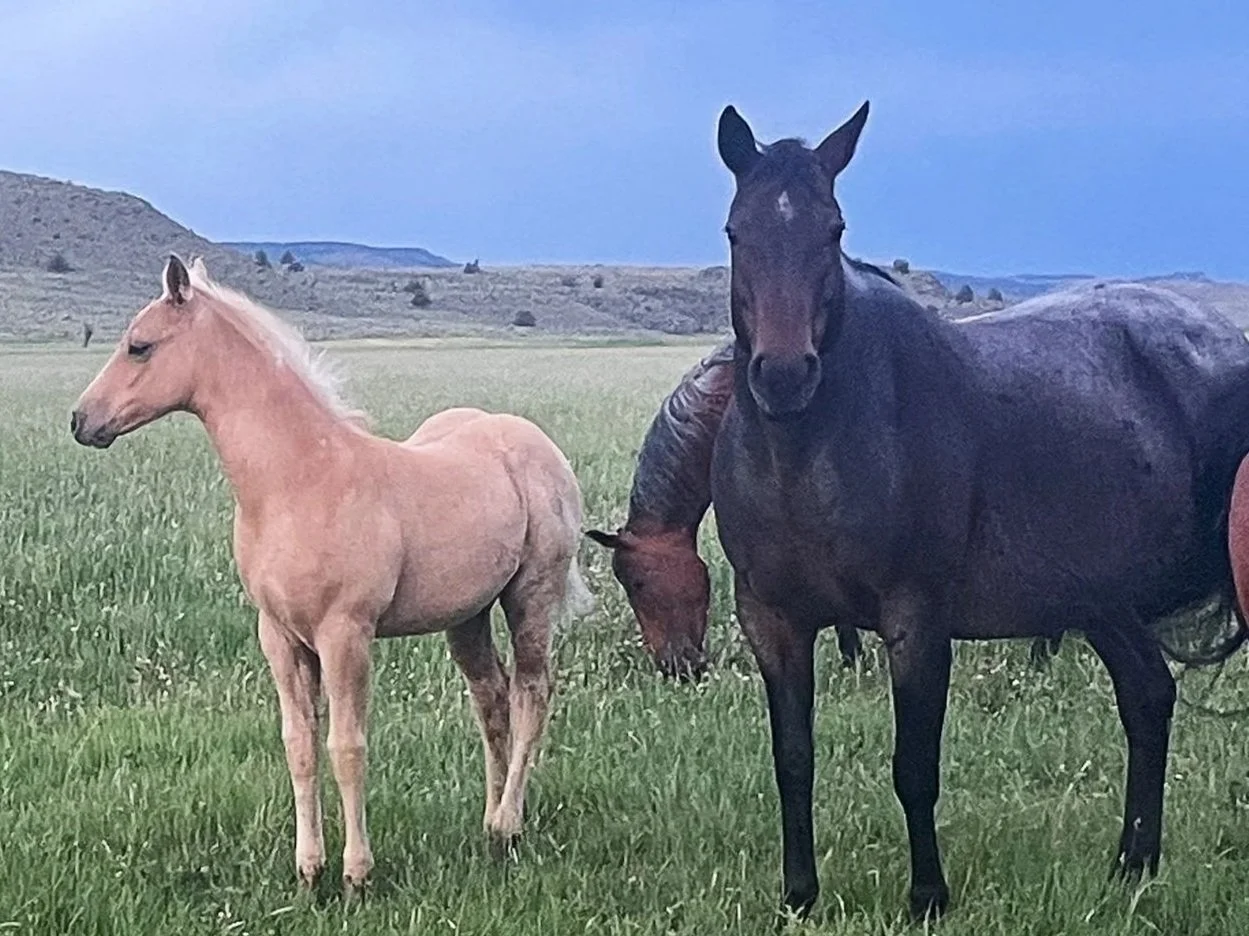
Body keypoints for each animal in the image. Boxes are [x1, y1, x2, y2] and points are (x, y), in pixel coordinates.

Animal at [70, 255, 594, 893]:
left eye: (139, 346)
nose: (81, 420)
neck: (297, 480)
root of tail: (537, 444)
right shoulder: (279, 635)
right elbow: (299, 745)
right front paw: (308, 868)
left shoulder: (345, 634)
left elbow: (347, 747)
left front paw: (356, 873)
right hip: (467, 615)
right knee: (491, 699)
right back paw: (489, 823)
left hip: (530, 597)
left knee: (532, 694)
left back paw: (509, 825)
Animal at [710, 101, 1249, 920]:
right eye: (737, 231)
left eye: (833, 229)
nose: (784, 374)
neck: (805, 455)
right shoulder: (772, 620)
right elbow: (793, 760)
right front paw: (800, 894)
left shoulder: (916, 620)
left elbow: (914, 766)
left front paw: (928, 895)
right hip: (1102, 601)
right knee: (1148, 697)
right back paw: (1132, 863)